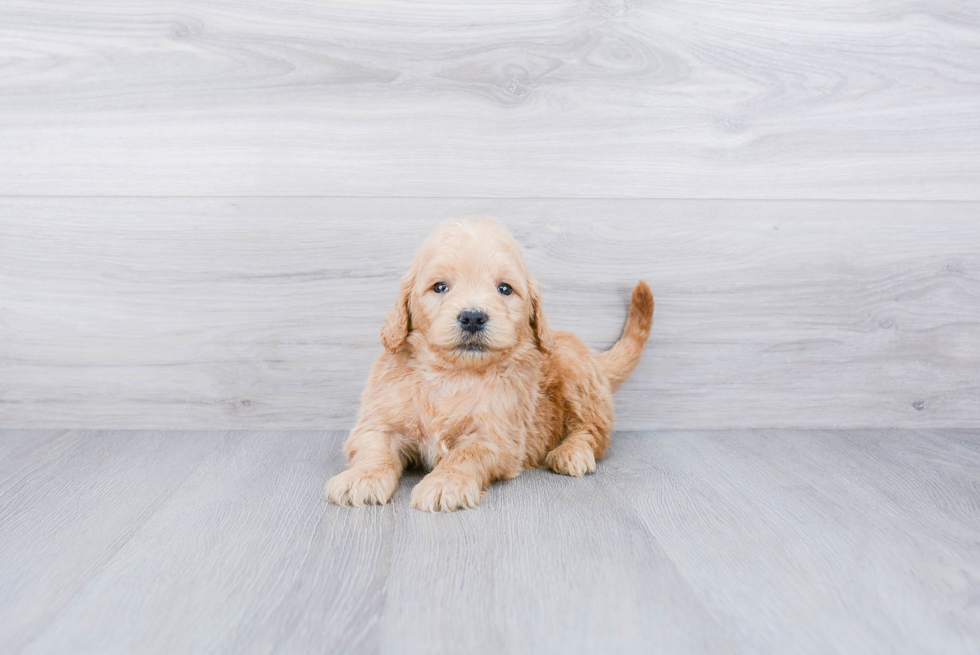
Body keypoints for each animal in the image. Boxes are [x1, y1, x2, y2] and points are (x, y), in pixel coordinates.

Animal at [326, 219, 656, 512]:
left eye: (505, 289)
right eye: (440, 287)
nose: (473, 317)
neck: (452, 373)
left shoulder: (497, 437)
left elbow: (465, 455)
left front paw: (445, 483)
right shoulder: (379, 421)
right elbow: (374, 449)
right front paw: (361, 478)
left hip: (575, 370)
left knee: (593, 431)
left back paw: (571, 452)